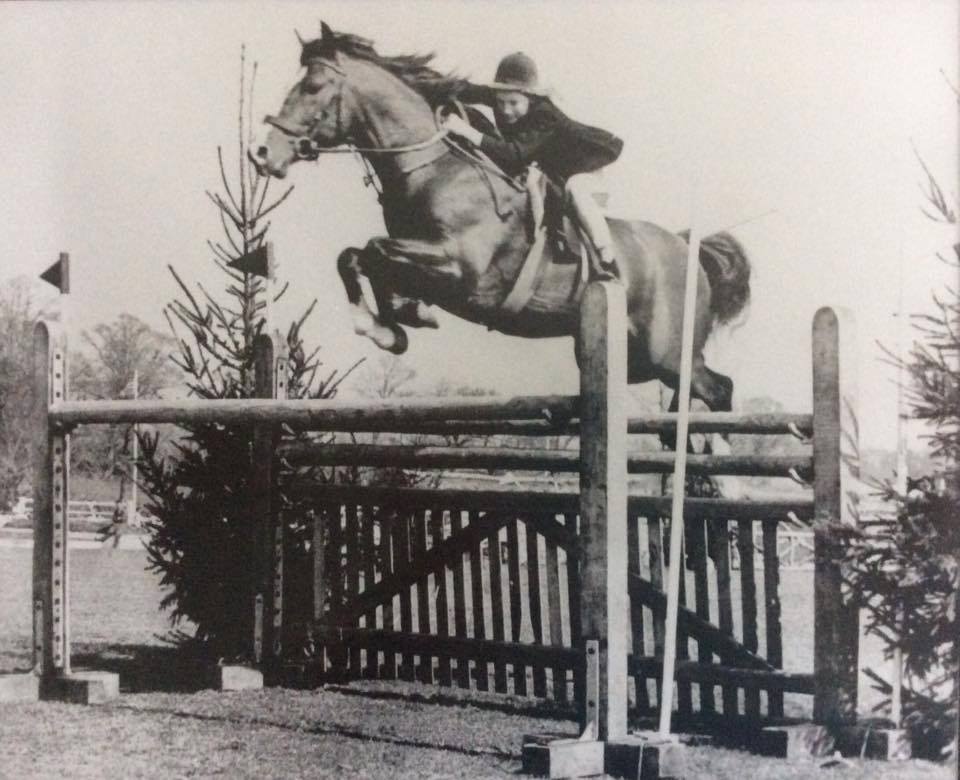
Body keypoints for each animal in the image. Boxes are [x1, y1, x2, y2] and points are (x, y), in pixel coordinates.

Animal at [249, 22, 752, 414]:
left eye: (312, 87)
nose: (261, 154)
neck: (434, 169)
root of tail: (690, 249)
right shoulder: (417, 257)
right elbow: (355, 257)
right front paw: (396, 323)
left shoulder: (460, 268)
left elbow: (370, 252)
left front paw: (384, 324)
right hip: (633, 360)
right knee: (704, 387)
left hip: (663, 351)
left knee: (717, 388)